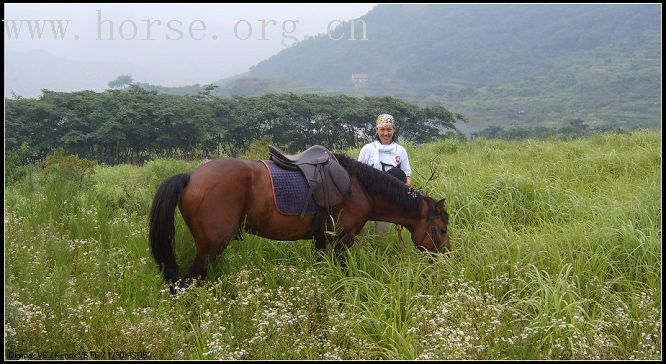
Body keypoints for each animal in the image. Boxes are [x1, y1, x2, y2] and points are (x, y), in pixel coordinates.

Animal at [150, 152, 448, 288]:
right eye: (442, 229)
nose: (446, 257)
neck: (360, 187)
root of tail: (191, 176)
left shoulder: (321, 240)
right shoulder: (343, 240)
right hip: (210, 249)